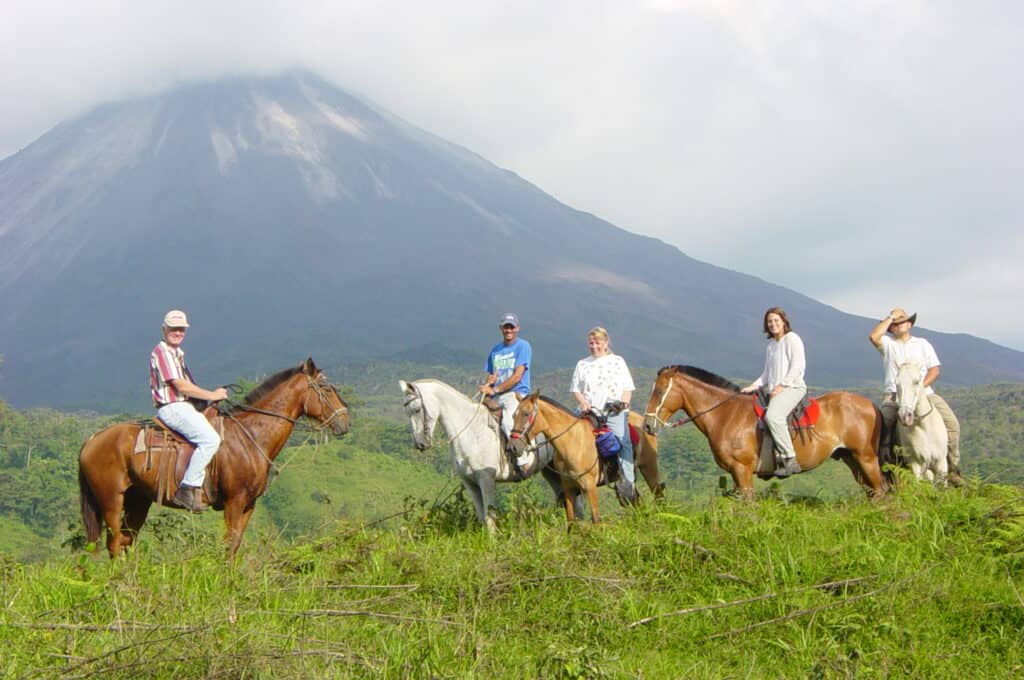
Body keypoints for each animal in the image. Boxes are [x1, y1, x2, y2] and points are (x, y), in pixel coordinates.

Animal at [77, 358, 350, 557]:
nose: (346, 421)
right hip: (111, 501)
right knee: (114, 543)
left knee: (126, 541)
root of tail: (92, 439)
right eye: (326, 387)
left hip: (138, 501)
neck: (250, 436)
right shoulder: (234, 501)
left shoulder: (249, 504)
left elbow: (236, 543)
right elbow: (229, 543)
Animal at [399, 376, 561, 532]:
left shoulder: (486, 479)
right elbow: (481, 516)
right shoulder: (469, 481)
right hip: (550, 471)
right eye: (406, 412)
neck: (471, 432)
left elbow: (490, 517)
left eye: (417, 409)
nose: (420, 444)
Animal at [638, 366, 888, 499]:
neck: (726, 414)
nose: (647, 425)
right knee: (872, 492)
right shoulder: (735, 473)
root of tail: (871, 405)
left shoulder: (742, 469)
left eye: (659, 391)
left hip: (865, 457)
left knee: (880, 490)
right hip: (851, 459)